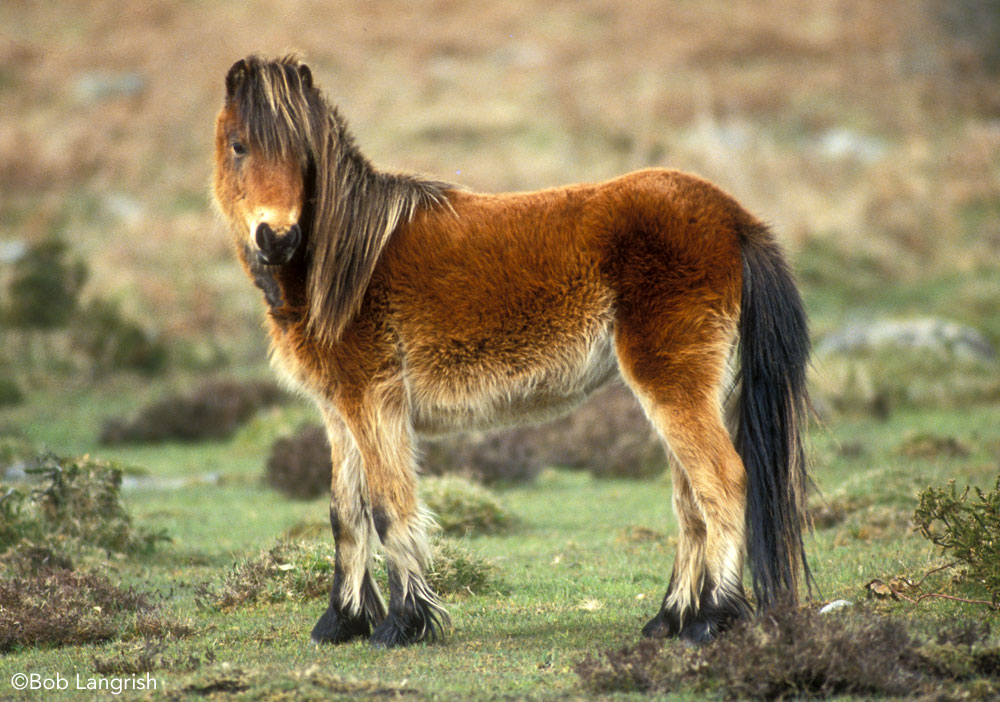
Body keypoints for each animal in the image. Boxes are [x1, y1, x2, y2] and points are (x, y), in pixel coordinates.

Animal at [211, 53, 812, 648]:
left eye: (302, 153)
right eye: (239, 145)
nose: (277, 238)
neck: (345, 264)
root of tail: (733, 216)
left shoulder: (372, 404)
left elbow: (387, 507)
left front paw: (402, 624)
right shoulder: (339, 411)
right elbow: (344, 513)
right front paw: (340, 622)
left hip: (671, 383)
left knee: (723, 484)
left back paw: (712, 620)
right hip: (682, 388)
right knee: (690, 501)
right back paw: (672, 618)